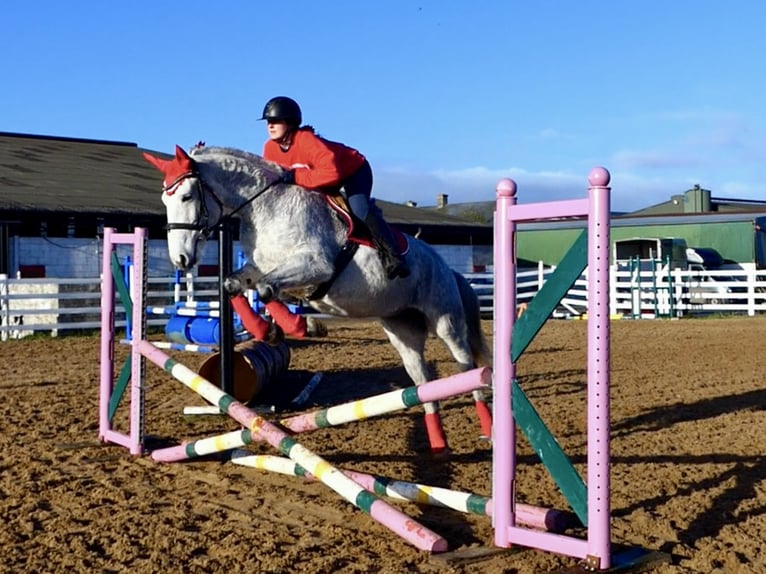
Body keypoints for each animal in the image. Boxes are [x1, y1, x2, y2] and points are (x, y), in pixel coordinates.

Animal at [142, 144, 491, 453]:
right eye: (164, 199)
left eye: (187, 196)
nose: (181, 259)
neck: (267, 209)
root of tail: (445, 266)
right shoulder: (258, 268)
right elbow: (236, 285)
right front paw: (267, 331)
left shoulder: (315, 266)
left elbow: (268, 289)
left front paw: (296, 325)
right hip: (402, 332)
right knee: (424, 381)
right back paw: (438, 444)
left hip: (446, 322)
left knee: (467, 367)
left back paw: (487, 429)